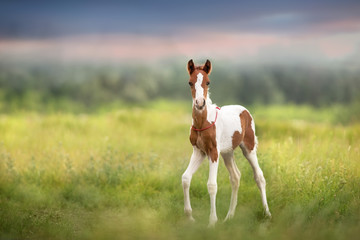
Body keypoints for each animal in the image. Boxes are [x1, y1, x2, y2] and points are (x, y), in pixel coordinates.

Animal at [181, 59, 272, 226]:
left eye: (208, 82)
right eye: (190, 82)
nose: (199, 103)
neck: (203, 122)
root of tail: (245, 111)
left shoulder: (213, 152)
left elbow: (211, 185)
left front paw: (212, 222)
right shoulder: (199, 152)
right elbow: (185, 178)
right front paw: (190, 217)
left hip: (249, 149)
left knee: (259, 176)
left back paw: (267, 214)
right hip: (227, 152)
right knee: (235, 177)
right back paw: (229, 216)